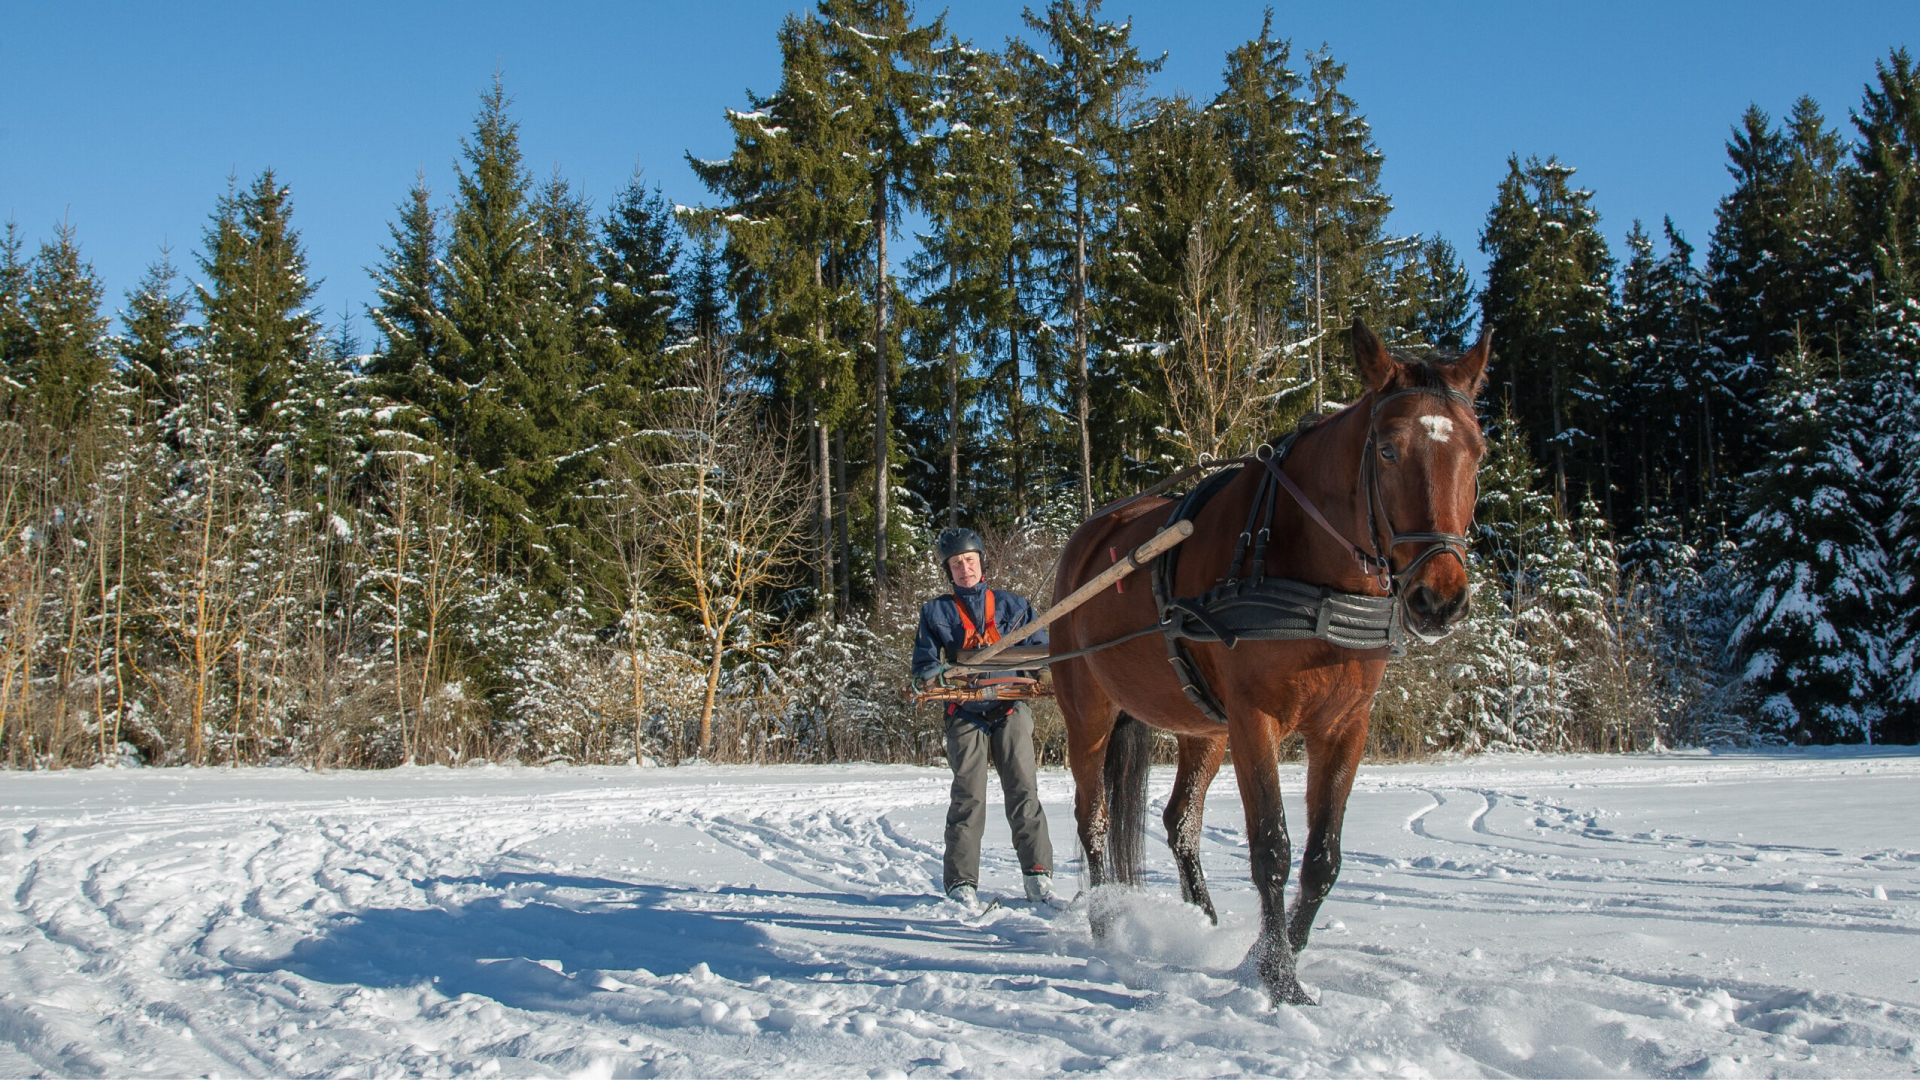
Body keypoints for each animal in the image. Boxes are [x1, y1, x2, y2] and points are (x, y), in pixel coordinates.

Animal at [1052, 317, 1482, 999]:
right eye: (1388, 450)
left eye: (1478, 453)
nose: (1439, 599)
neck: (1313, 577)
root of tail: (1086, 544)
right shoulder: (1256, 720)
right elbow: (1271, 850)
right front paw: (1280, 981)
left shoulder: (1345, 726)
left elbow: (1322, 858)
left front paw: (1265, 954)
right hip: (1088, 713)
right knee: (1091, 819)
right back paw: (1105, 923)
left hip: (1203, 725)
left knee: (1180, 822)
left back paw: (1201, 921)